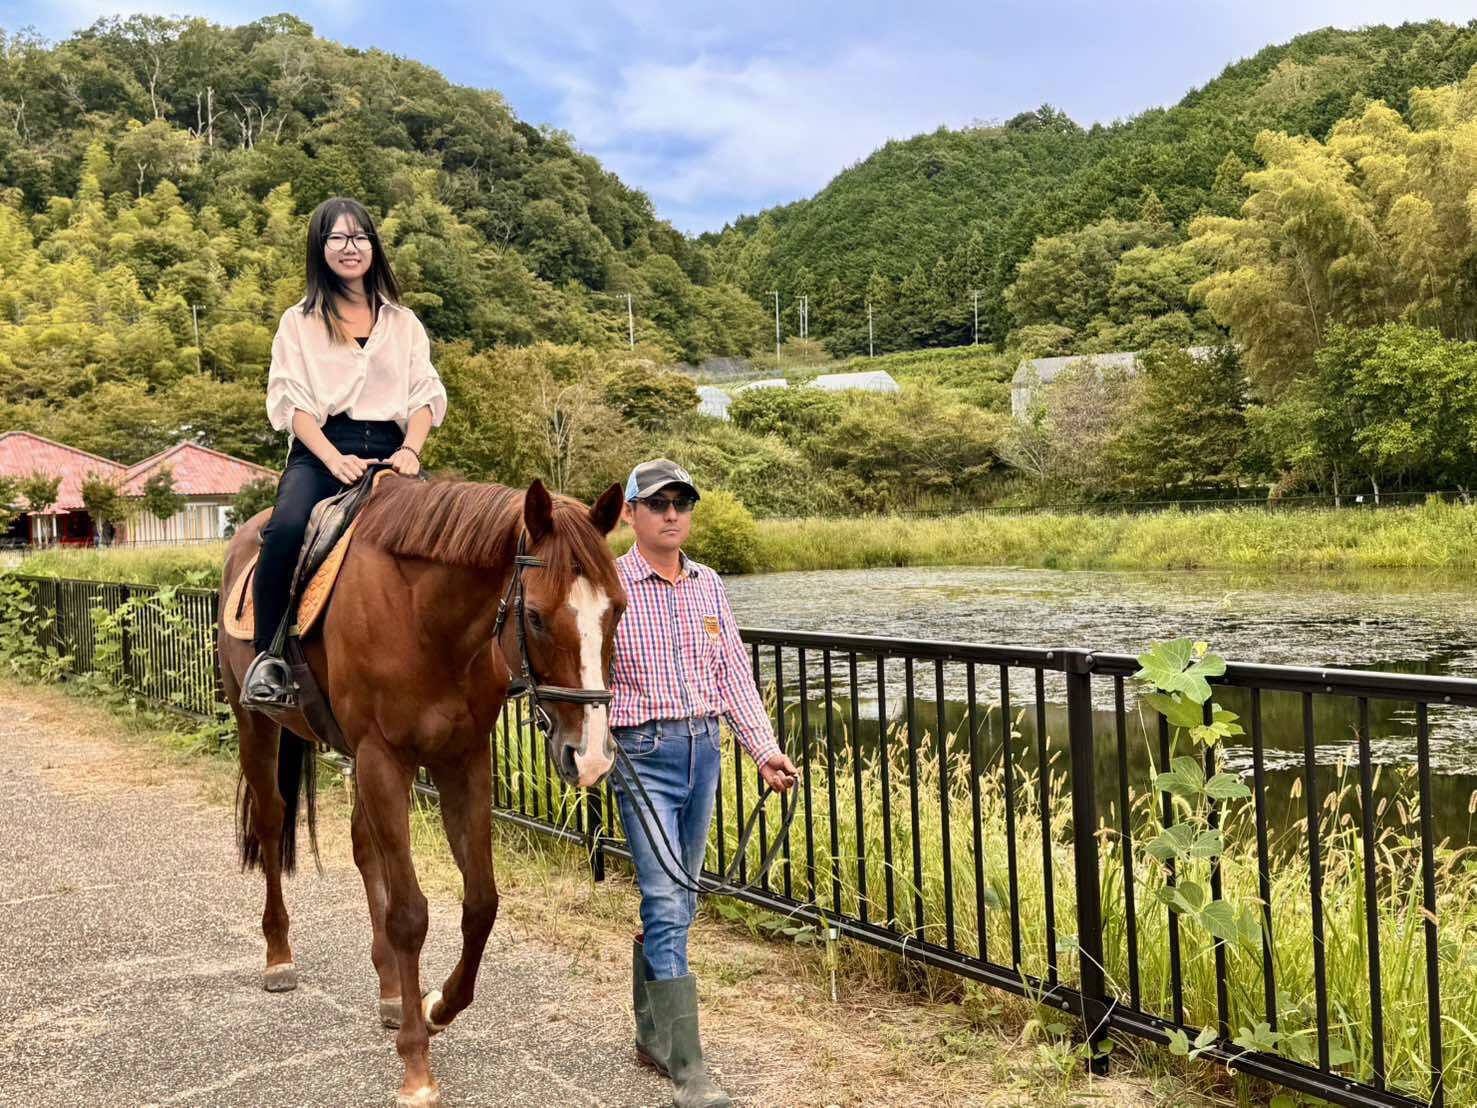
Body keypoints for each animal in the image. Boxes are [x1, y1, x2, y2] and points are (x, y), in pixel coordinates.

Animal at [217, 475, 627, 1107]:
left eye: (618, 610)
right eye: (535, 617)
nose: (591, 756)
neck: (428, 619)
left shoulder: (463, 761)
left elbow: (480, 903)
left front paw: (434, 1008)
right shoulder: (383, 758)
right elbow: (409, 914)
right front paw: (415, 1065)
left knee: (364, 847)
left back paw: (390, 990)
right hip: (255, 723)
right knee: (270, 821)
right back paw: (279, 956)